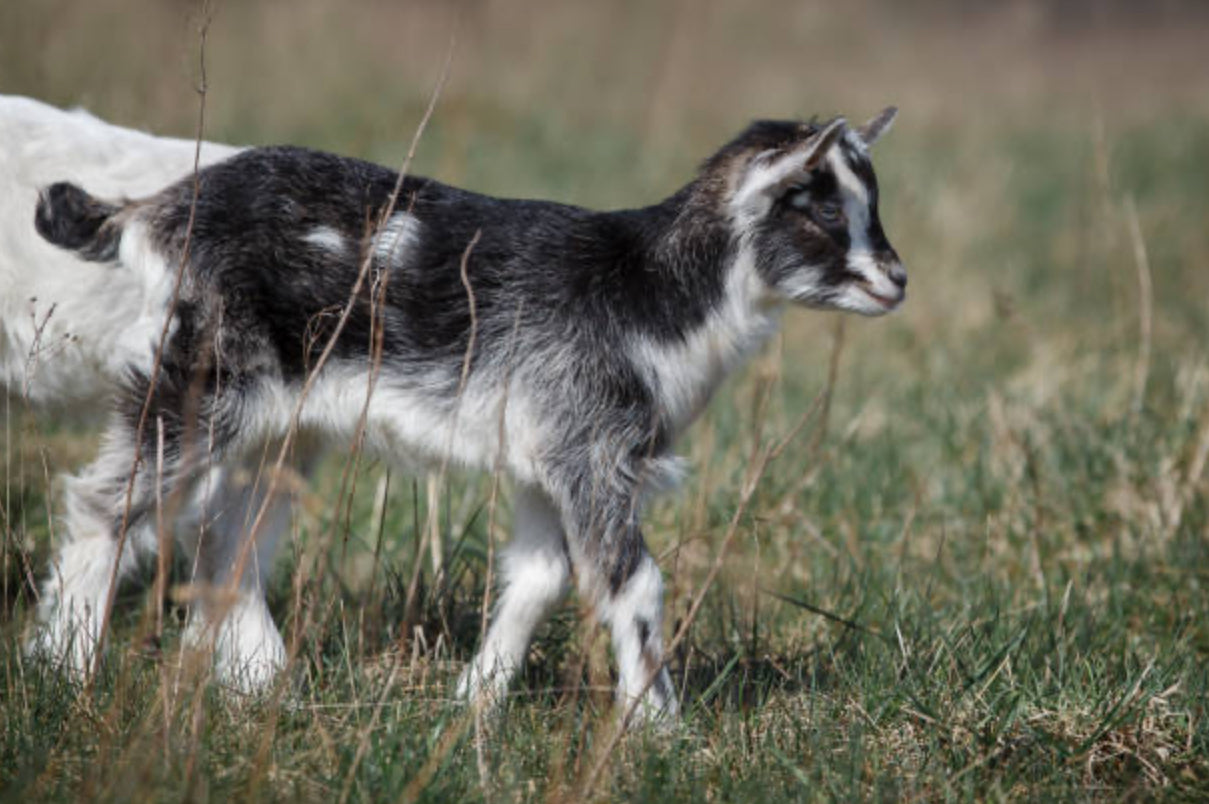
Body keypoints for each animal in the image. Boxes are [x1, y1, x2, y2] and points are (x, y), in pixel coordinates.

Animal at [30, 108, 903, 720]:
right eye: (824, 211)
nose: (895, 280)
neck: (650, 290)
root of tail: (153, 210)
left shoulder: (548, 460)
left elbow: (542, 577)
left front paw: (473, 704)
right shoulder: (592, 452)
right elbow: (631, 582)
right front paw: (658, 728)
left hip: (285, 423)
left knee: (227, 537)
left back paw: (265, 684)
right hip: (199, 377)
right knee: (108, 503)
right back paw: (66, 667)